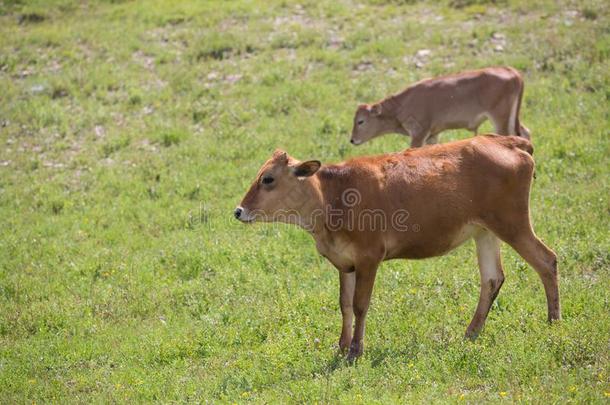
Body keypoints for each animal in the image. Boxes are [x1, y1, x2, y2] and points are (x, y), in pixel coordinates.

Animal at [235, 135, 560, 360]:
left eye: (268, 178)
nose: (238, 211)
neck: (332, 197)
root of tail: (508, 141)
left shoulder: (369, 257)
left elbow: (360, 304)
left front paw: (355, 351)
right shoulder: (345, 262)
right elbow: (344, 304)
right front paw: (341, 346)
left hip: (512, 222)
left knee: (547, 260)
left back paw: (553, 323)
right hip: (485, 231)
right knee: (492, 278)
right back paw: (470, 333)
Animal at [350, 65, 528, 148]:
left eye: (360, 121)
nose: (352, 140)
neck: (403, 104)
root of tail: (511, 71)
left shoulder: (419, 133)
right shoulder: (432, 136)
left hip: (500, 119)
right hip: (511, 118)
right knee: (524, 133)